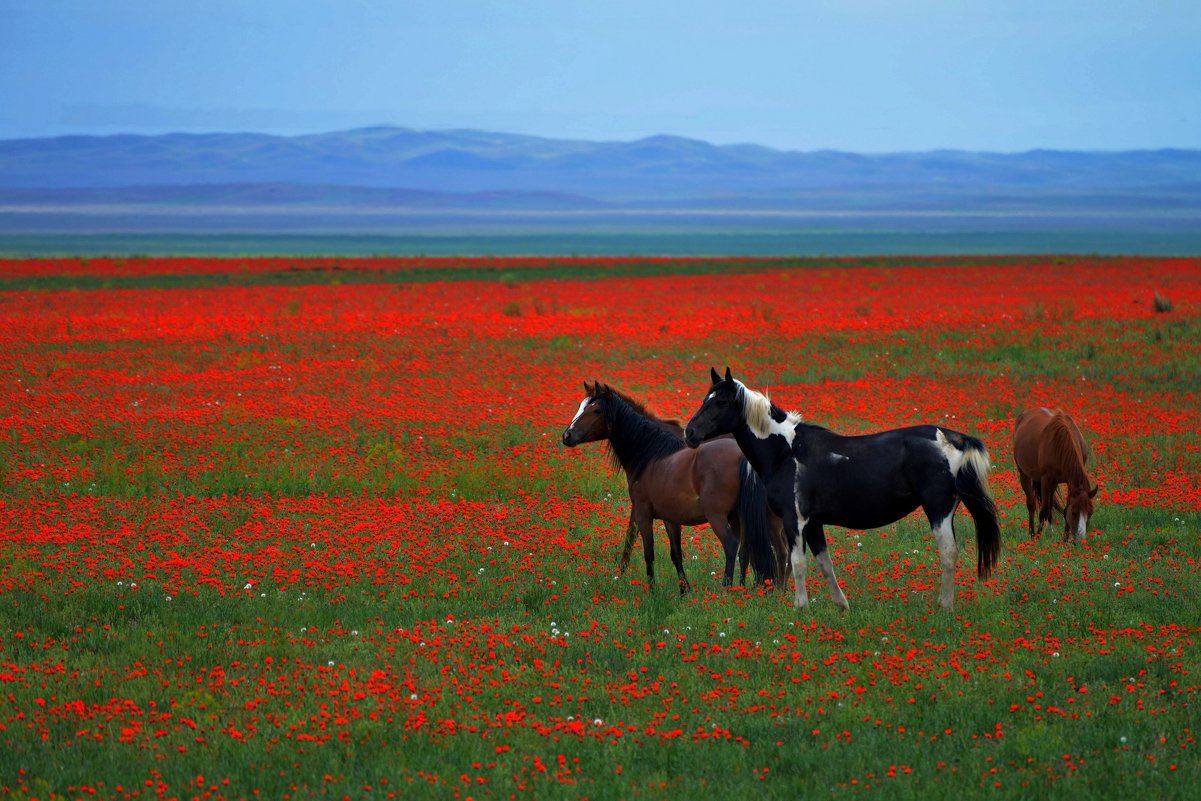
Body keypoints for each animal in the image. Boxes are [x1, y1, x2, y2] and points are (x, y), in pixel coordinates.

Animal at [559, 381, 787, 595]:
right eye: (581, 406)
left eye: (596, 410)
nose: (567, 436)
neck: (650, 454)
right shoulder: (670, 518)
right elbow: (676, 554)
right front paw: (684, 590)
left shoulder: (642, 512)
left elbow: (645, 550)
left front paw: (650, 590)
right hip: (740, 516)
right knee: (747, 550)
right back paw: (743, 589)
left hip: (724, 516)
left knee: (739, 546)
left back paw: (730, 589)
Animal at [686, 369, 1004, 614]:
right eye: (705, 399)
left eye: (721, 401)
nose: (689, 433)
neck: (786, 451)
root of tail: (953, 438)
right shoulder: (814, 523)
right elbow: (824, 563)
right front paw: (841, 606)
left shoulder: (794, 520)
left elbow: (797, 562)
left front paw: (800, 608)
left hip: (938, 510)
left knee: (948, 553)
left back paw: (944, 607)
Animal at [1013, 408, 1100, 545]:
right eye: (1074, 513)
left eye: (1090, 513)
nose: (1080, 540)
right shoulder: (1046, 480)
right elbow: (1043, 511)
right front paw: (1038, 538)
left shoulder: (1068, 482)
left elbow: (1063, 509)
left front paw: (1065, 540)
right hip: (1025, 474)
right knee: (1032, 504)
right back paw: (1032, 534)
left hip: (1053, 483)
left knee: (1049, 505)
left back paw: (1050, 532)